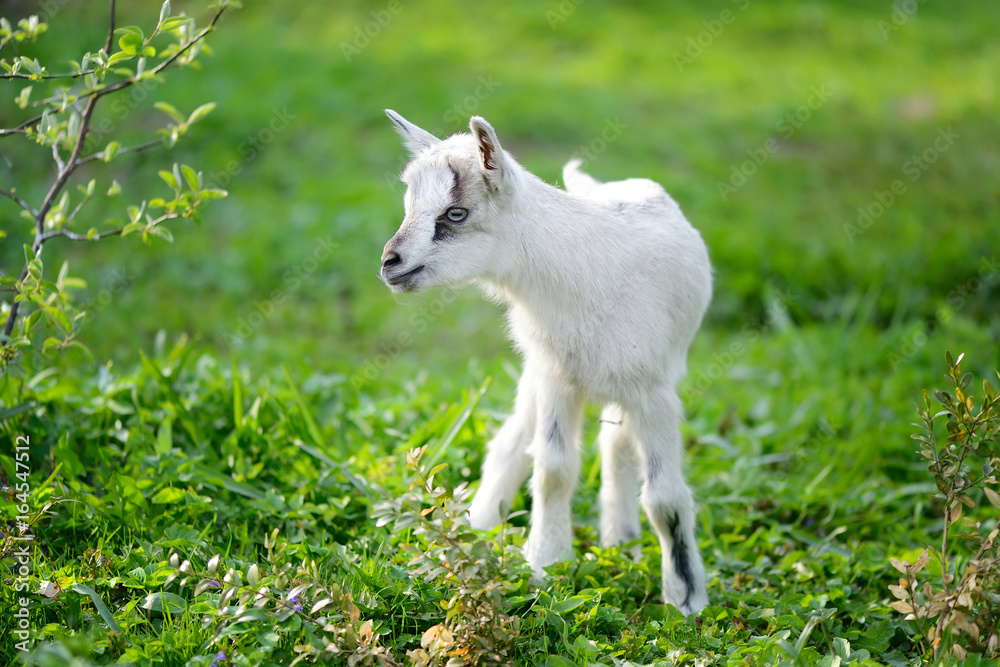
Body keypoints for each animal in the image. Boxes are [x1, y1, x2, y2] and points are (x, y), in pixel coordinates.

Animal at [379, 110, 713, 614]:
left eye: (455, 213)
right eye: (408, 204)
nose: (389, 263)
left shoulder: (653, 391)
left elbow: (665, 497)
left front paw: (686, 596)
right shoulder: (557, 378)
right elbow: (554, 469)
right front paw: (546, 565)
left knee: (615, 444)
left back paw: (621, 540)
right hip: (537, 372)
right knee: (513, 442)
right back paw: (479, 528)